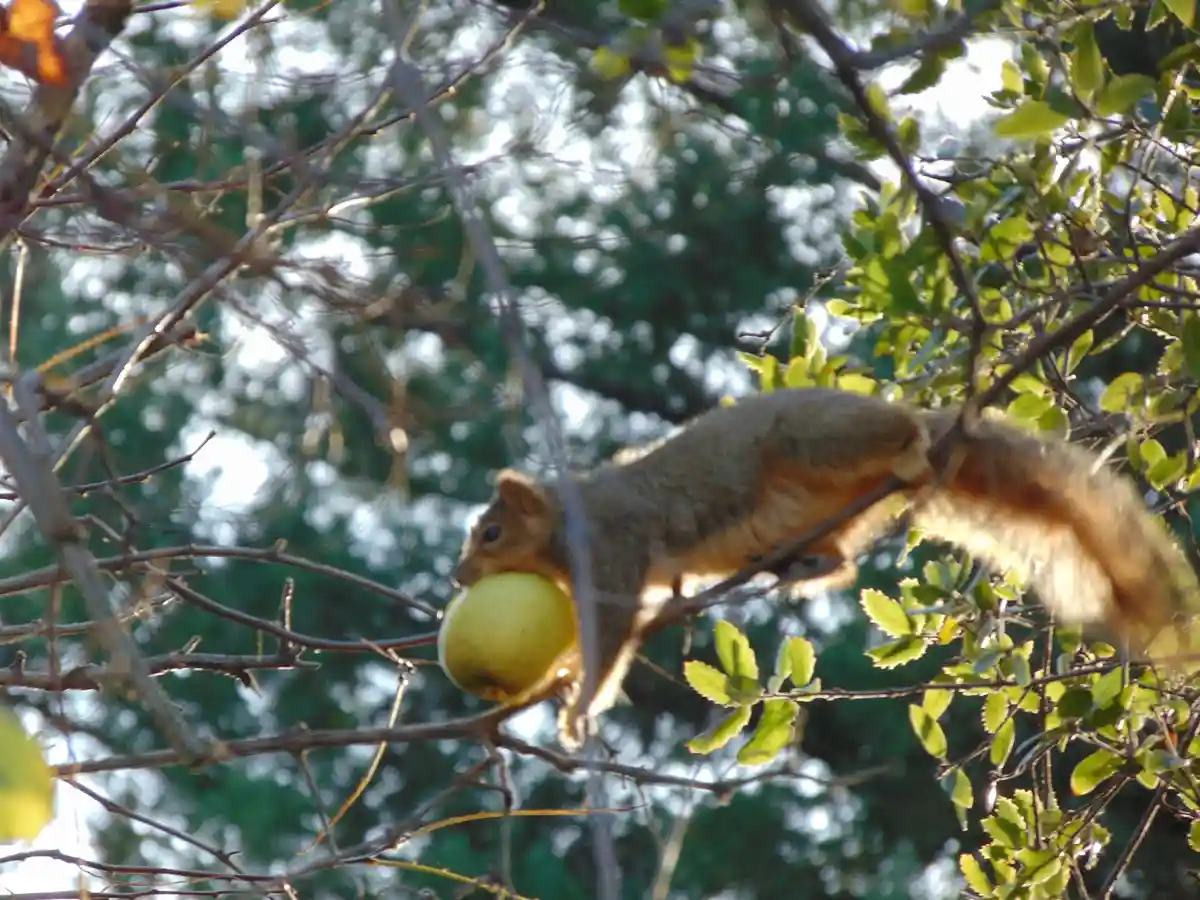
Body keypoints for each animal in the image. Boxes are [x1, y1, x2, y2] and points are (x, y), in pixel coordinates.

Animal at [453, 386, 1200, 748]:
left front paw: (579, 709)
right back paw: (801, 566)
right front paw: (562, 679)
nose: (459, 579)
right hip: (826, 515)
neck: (563, 527)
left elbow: (612, 636)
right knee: (840, 565)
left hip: (816, 439)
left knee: (894, 435)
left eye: (490, 533)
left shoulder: (612, 547)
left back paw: (912, 442)